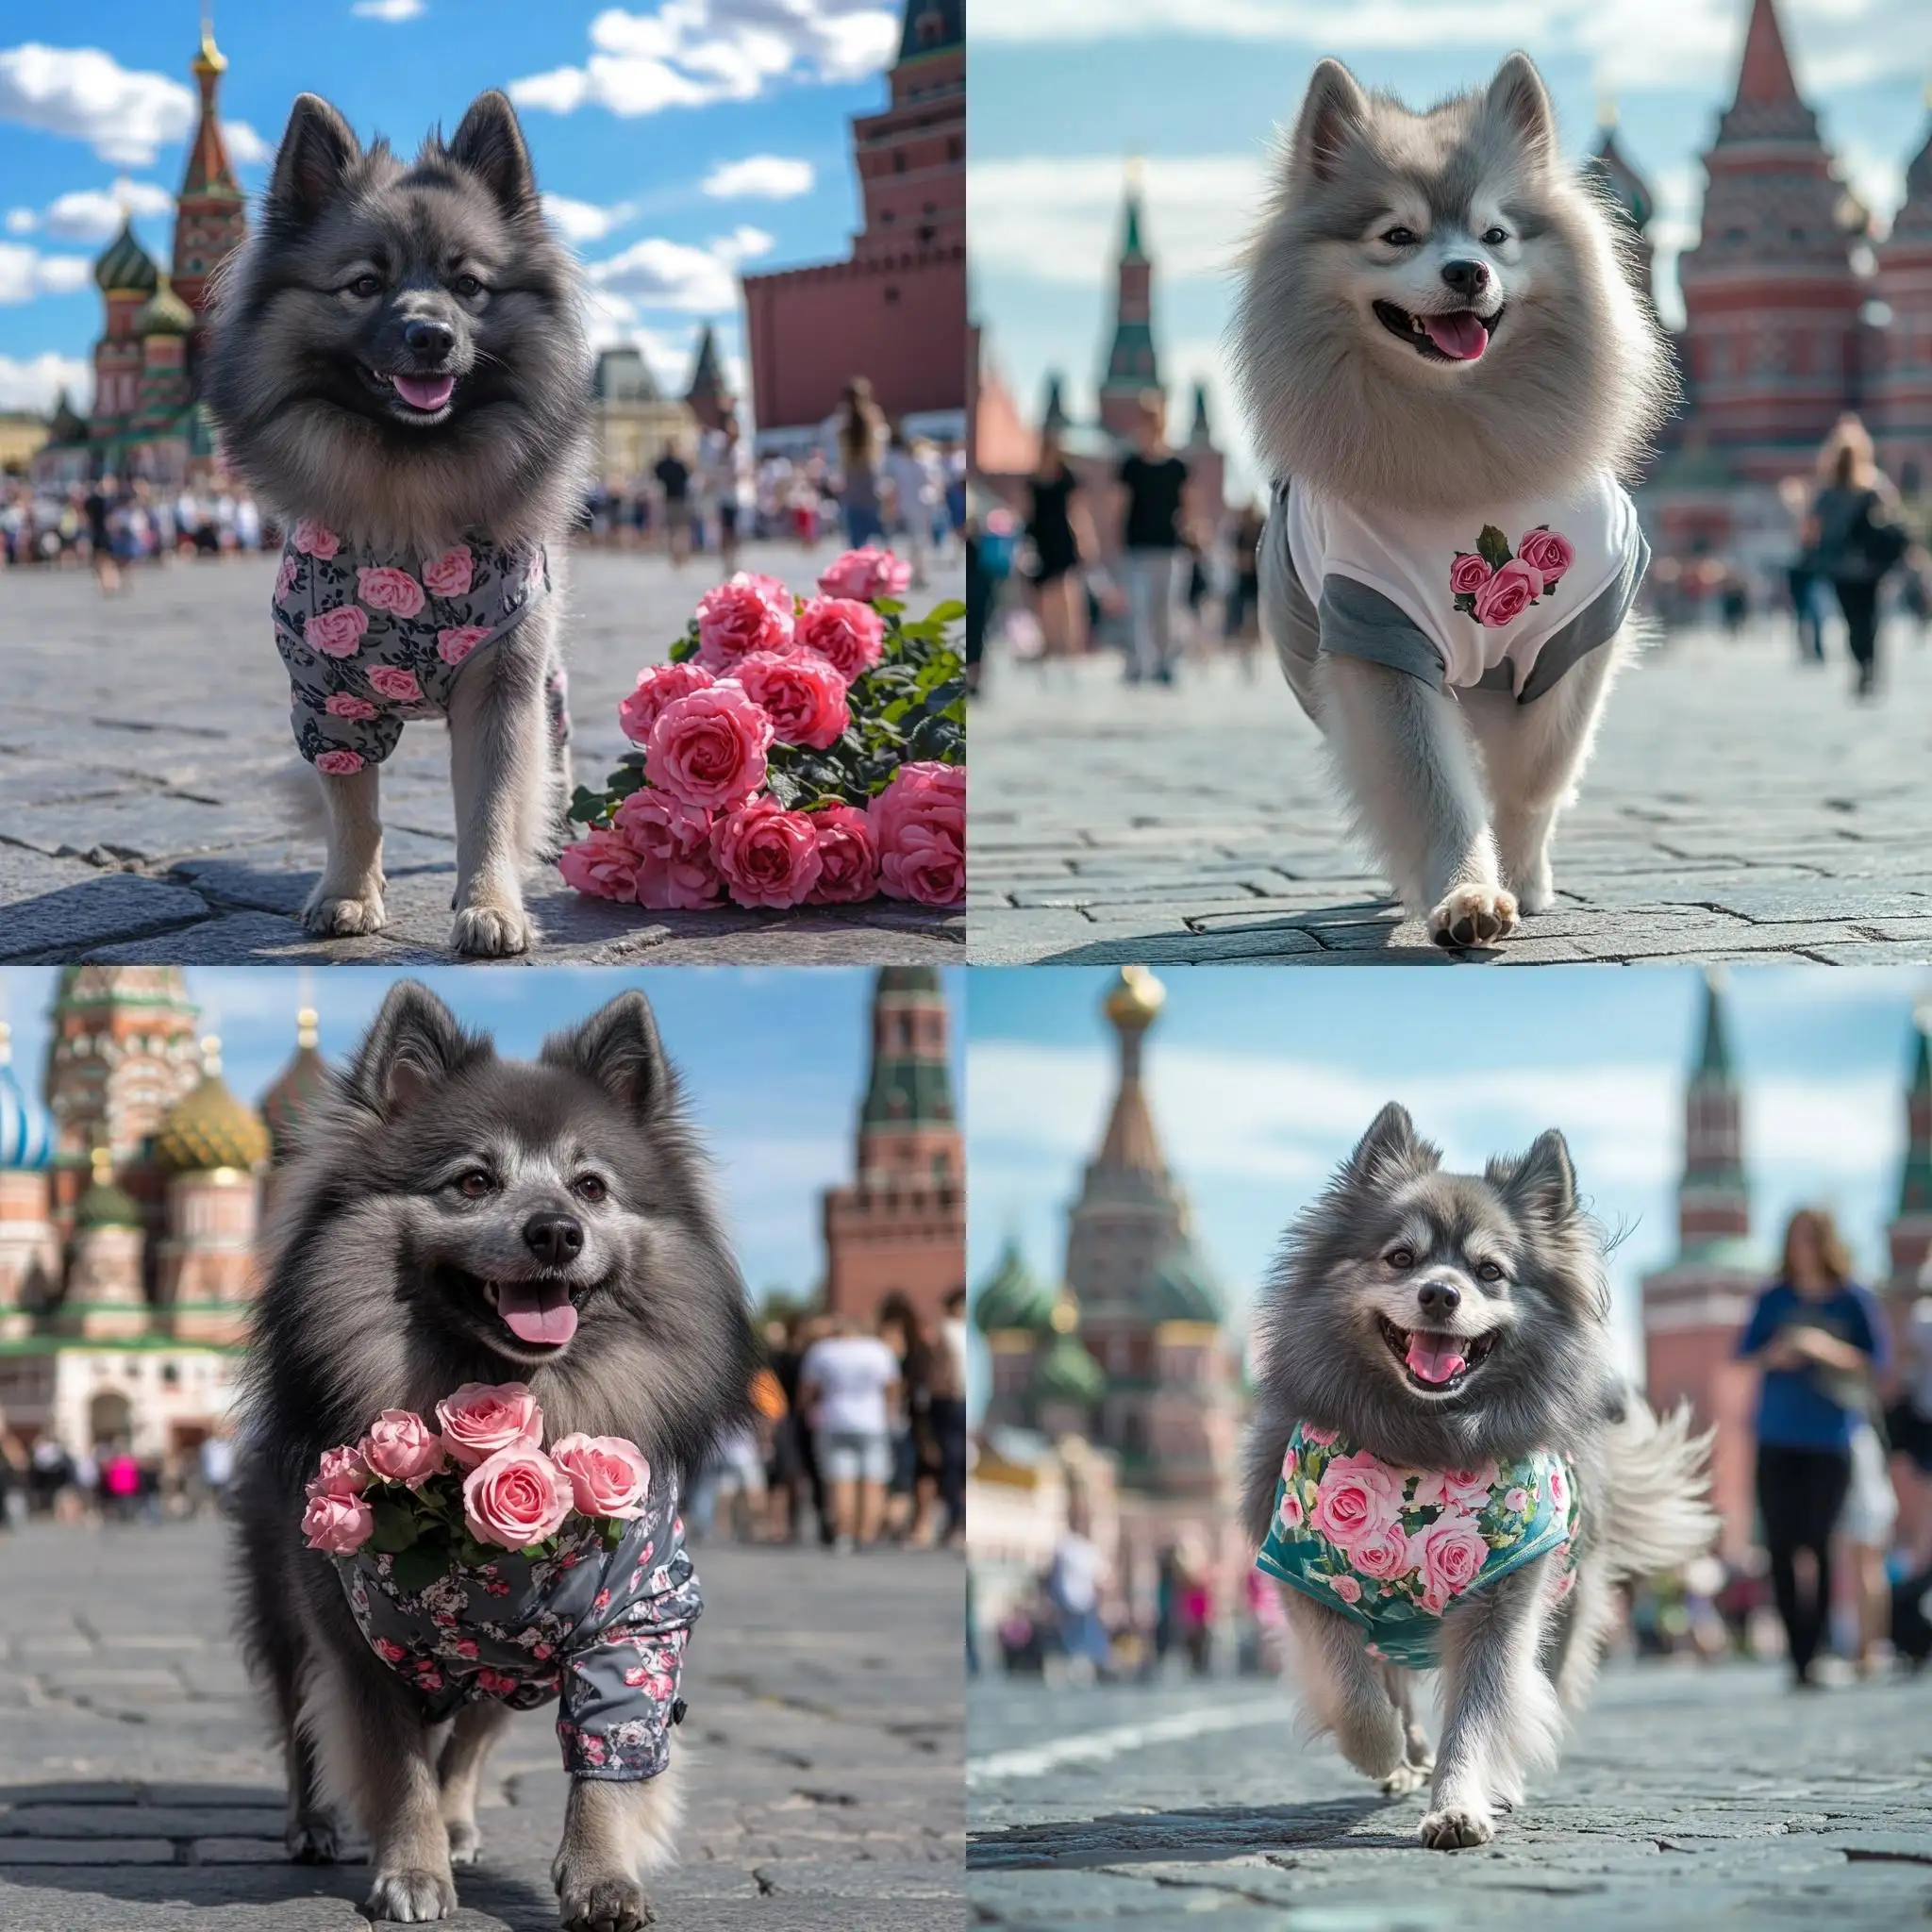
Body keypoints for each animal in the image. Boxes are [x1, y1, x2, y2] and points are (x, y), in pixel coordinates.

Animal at [206, 91, 587, 958]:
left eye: (469, 284)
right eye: (364, 284)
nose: (431, 335)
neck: (408, 505)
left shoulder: (502, 688)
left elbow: (489, 808)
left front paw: (492, 905)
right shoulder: (327, 701)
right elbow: (354, 814)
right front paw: (347, 894)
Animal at [231, 989, 753, 1924]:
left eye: (592, 1186)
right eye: (474, 1181)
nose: (556, 1232)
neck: (519, 1401)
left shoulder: (630, 1626)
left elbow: (606, 1767)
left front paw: (601, 1878)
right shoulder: (357, 1632)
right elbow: (395, 1763)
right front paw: (411, 1871)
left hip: (514, 1659)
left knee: (472, 1734)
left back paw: (461, 1822)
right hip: (286, 1607)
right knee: (297, 1725)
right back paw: (312, 1826)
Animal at [1236, 62, 1676, 958]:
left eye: (1496, 234)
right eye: (1398, 235)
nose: (1467, 271)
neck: (1461, 440)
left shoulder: (1576, 636)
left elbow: (1534, 778)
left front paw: (1524, 877)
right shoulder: (1379, 633)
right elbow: (1431, 787)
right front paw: (1465, 894)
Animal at [1243, 1105, 1715, 1839]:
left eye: (1490, 1272)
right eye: (1401, 1258)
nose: (1441, 1293)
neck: (1425, 1444)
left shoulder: (1503, 1602)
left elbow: (1480, 1714)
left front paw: (1458, 1804)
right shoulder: (1305, 1579)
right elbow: (1353, 1693)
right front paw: (1383, 1752)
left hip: (1564, 1610)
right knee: (1391, 1686)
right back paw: (1404, 1757)